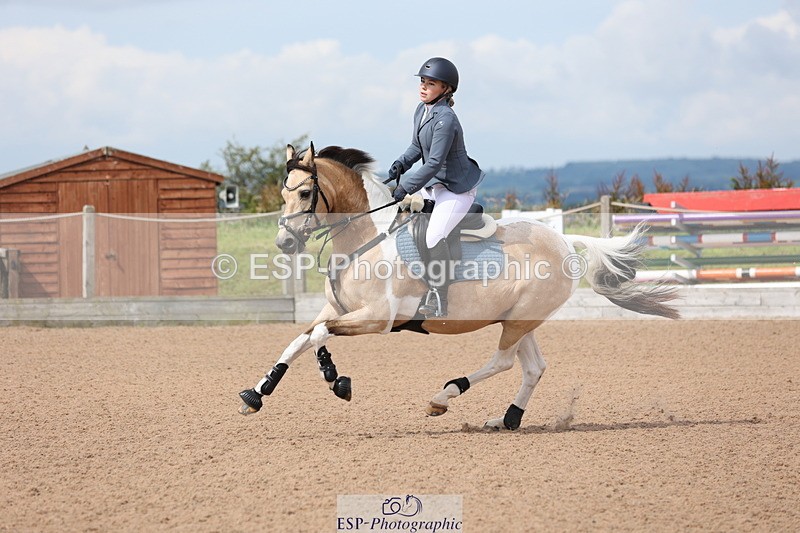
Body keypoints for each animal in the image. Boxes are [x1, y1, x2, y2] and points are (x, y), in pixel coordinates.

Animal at [238, 144, 680, 430]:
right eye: (283, 194)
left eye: (306, 193)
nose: (284, 243)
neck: (365, 239)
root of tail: (564, 241)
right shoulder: (338, 310)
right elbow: (301, 339)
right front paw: (258, 394)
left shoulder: (378, 319)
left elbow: (318, 337)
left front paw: (336, 380)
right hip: (521, 320)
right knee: (533, 368)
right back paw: (506, 419)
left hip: (518, 322)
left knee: (503, 362)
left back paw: (444, 397)